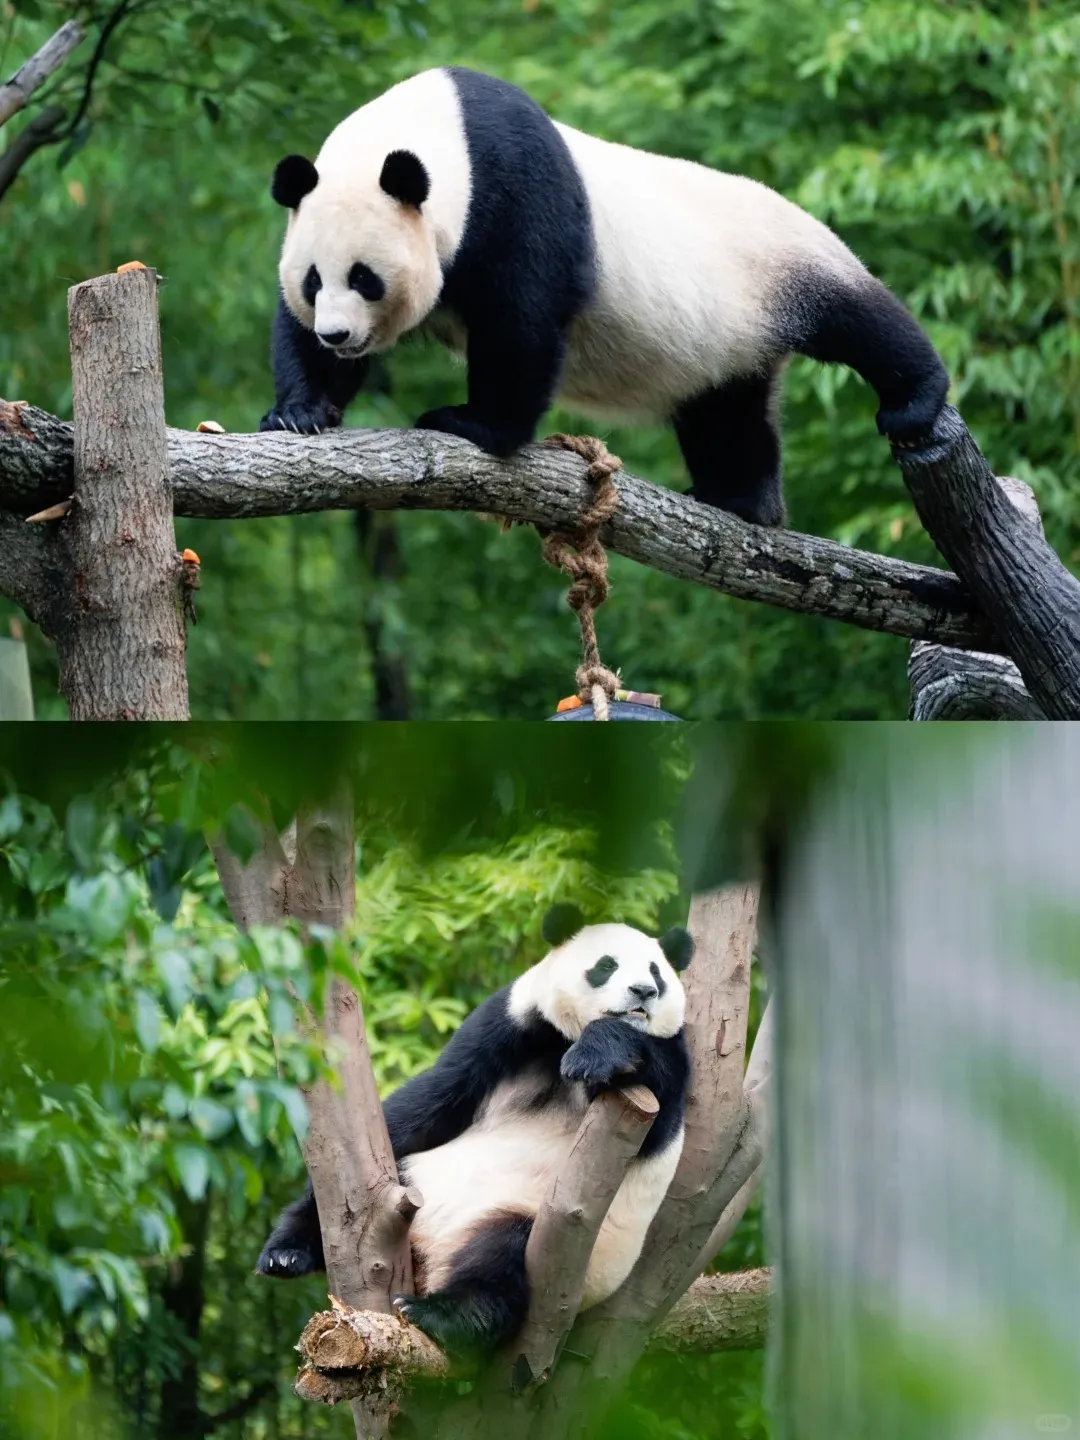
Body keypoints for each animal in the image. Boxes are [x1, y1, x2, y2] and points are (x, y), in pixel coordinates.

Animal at [256, 905, 694, 1356]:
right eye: (606, 965)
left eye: (656, 971)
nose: (643, 991)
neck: (564, 1039)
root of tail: (430, 1257)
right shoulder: (512, 1024)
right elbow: (437, 1097)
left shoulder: (667, 1064)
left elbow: (656, 1100)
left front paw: (594, 1055)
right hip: (417, 1180)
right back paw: (287, 1253)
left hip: (553, 1232)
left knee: (501, 1255)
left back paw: (441, 1314)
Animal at [260, 67, 949, 528]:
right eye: (315, 281)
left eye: (366, 278)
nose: (339, 336)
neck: (441, 128)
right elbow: (295, 335)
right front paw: (301, 411)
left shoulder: (513, 185)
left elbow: (522, 318)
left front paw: (472, 424)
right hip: (729, 340)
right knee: (726, 411)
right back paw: (740, 499)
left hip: (779, 262)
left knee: (862, 323)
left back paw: (912, 403)